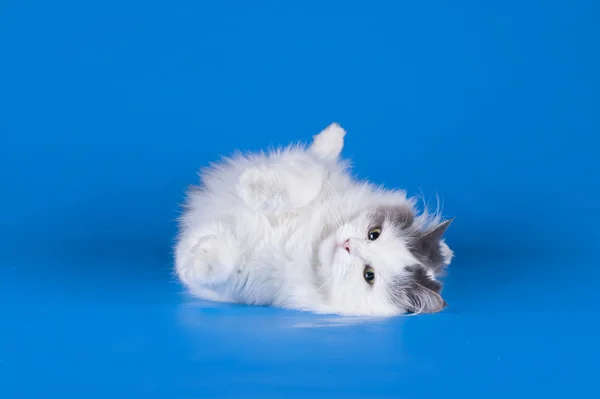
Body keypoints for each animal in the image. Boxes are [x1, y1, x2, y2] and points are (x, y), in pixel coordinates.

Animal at [173, 123, 454, 318]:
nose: (347, 244)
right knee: (317, 154)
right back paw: (334, 134)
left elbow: (213, 263)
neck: (305, 241)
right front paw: (251, 186)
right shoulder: (315, 178)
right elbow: (302, 181)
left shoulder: (244, 285)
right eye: (373, 233)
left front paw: (197, 257)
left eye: (369, 275)